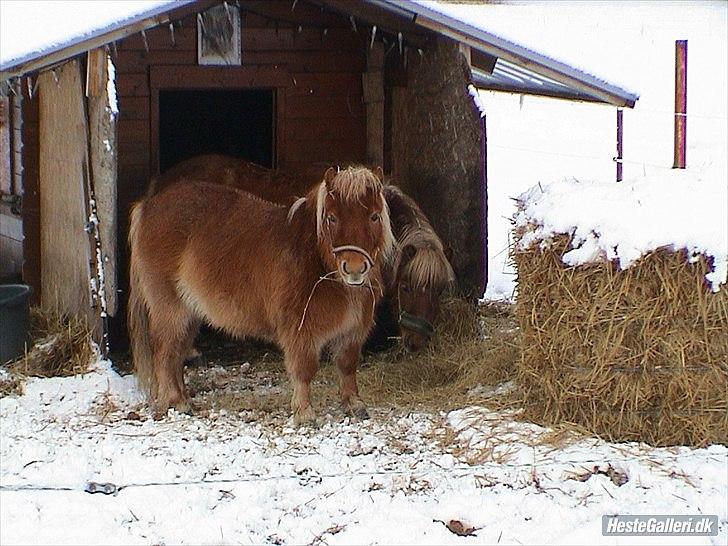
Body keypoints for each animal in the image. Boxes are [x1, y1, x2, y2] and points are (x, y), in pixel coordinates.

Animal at [128, 166, 396, 420]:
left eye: (374, 216)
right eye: (332, 218)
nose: (354, 268)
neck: (314, 258)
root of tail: (147, 206)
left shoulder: (353, 331)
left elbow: (348, 366)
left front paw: (355, 405)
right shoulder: (300, 331)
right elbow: (304, 369)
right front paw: (304, 414)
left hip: (191, 313)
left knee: (177, 353)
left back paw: (184, 400)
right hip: (171, 309)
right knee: (164, 353)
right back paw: (177, 402)